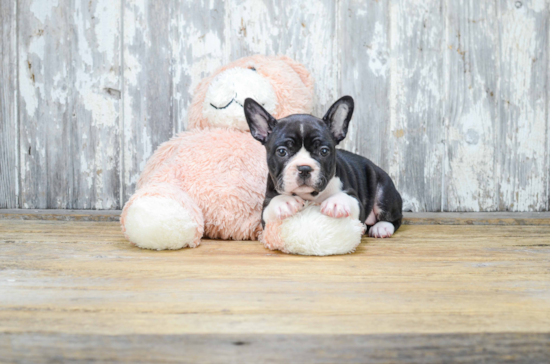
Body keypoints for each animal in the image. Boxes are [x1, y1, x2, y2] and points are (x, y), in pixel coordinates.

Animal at [246, 96, 406, 239]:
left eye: (323, 151)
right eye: (281, 152)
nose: (304, 168)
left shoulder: (356, 200)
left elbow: (348, 199)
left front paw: (336, 202)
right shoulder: (266, 206)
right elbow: (271, 206)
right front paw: (284, 202)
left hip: (384, 191)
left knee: (394, 217)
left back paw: (382, 227)